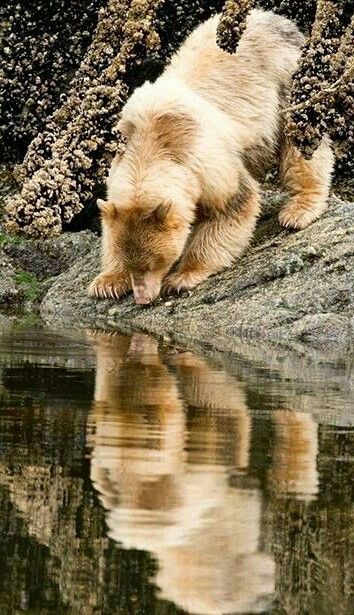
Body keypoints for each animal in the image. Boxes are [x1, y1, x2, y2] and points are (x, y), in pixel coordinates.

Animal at [87, 8, 334, 306]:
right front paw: (107, 282)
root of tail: (274, 18)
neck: (151, 139)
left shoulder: (205, 158)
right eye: (131, 264)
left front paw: (182, 277)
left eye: (156, 263)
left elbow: (231, 206)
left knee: (300, 141)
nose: (142, 298)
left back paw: (300, 209)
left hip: (286, 80)